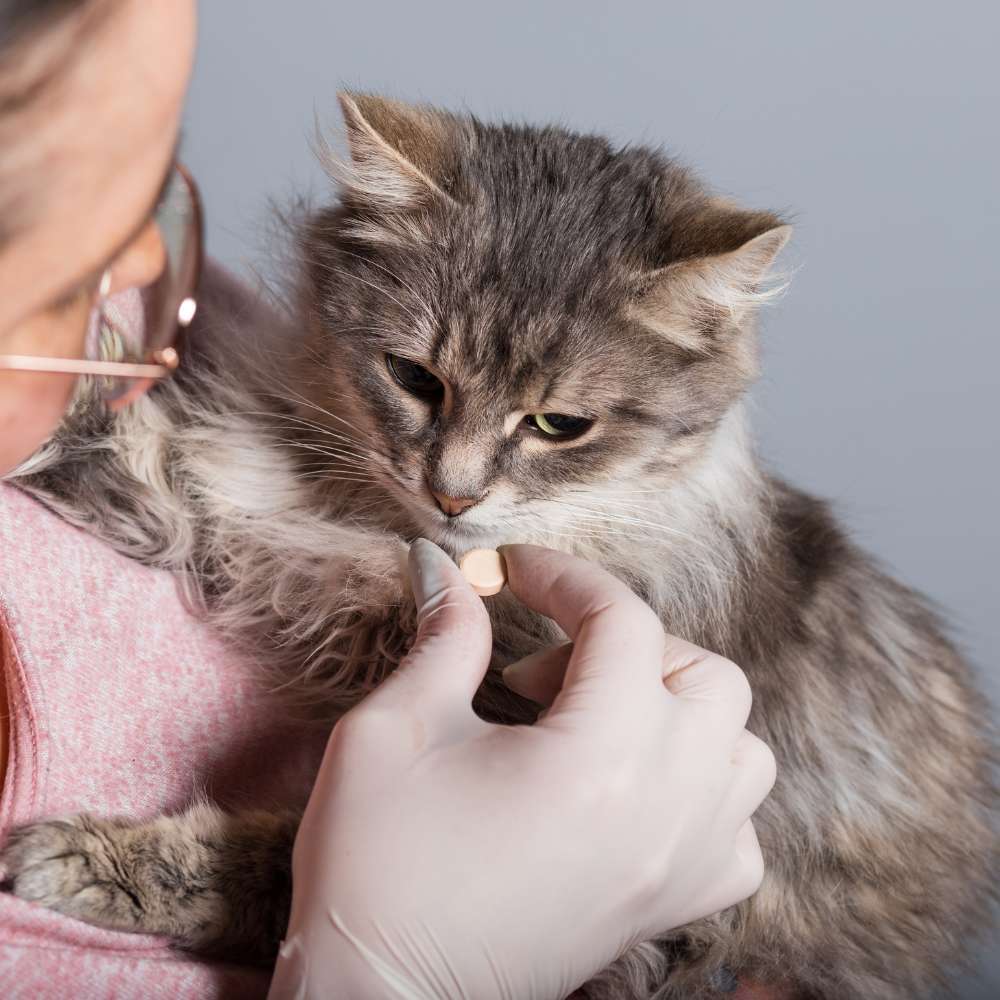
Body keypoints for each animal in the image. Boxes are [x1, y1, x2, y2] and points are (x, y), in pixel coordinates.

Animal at [0, 90, 996, 996]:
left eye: (560, 424)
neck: (380, 536)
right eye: (414, 378)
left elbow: (284, 856)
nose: (454, 492)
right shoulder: (229, 513)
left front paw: (93, 860)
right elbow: (125, 449)